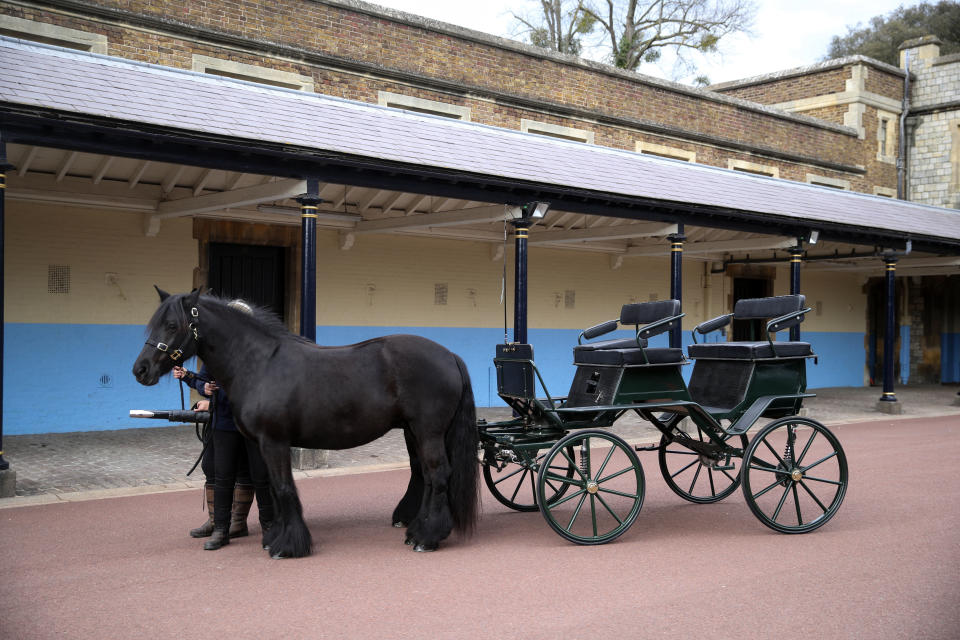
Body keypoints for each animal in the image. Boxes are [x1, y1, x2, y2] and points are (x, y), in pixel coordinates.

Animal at [133, 288, 478, 556]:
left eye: (172, 324)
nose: (141, 370)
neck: (260, 363)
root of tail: (449, 356)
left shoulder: (274, 442)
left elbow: (284, 488)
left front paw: (288, 546)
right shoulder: (260, 445)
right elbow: (272, 489)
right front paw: (274, 537)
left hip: (428, 432)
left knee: (437, 475)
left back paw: (426, 538)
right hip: (413, 432)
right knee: (424, 476)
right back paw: (415, 530)